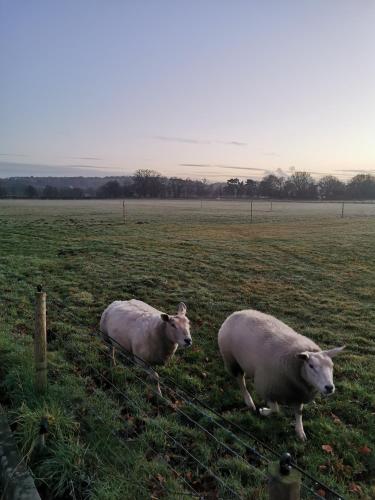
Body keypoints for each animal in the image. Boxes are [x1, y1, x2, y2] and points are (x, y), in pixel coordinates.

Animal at [219, 308, 346, 442]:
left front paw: (300, 431)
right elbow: (276, 409)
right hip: (232, 360)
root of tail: (238, 312)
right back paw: (249, 401)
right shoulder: (267, 387)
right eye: (311, 366)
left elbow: (299, 413)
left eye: (332, 366)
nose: (329, 387)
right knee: (241, 381)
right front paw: (264, 411)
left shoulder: (298, 393)